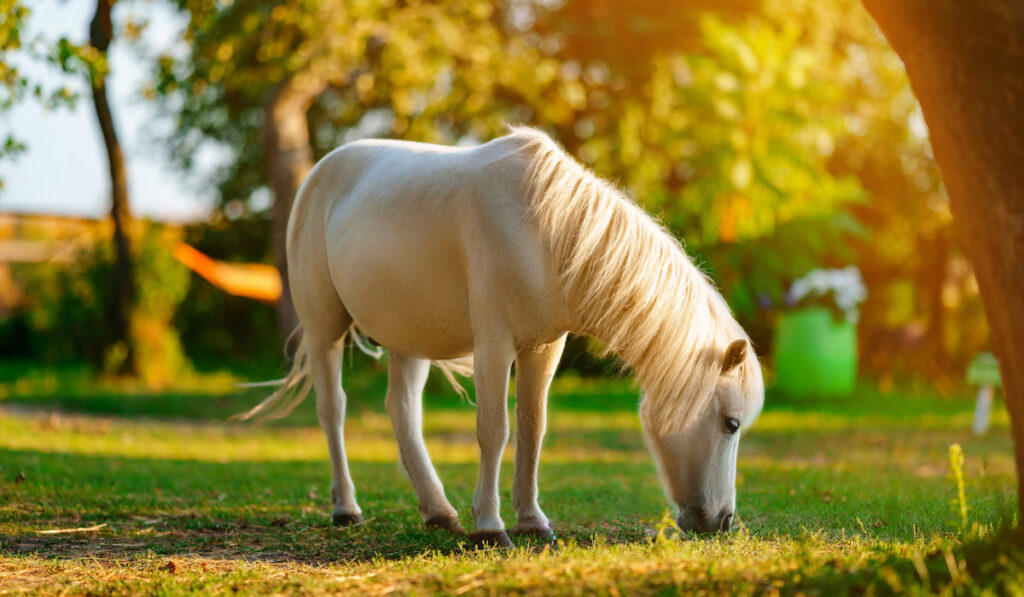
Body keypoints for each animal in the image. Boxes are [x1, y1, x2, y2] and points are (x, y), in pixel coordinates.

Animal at [243, 127, 765, 544]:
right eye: (731, 424)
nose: (723, 520)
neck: (548, 231)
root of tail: (321, 172)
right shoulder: (494, 346)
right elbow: (494, 430)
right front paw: (490, 527)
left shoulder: (544, 348)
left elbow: (533, 428)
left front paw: (531, 521)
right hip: (324, 328)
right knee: (333, 409)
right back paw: (346, 509)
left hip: (407, 338)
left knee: (403, 412)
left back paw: (439, 513)